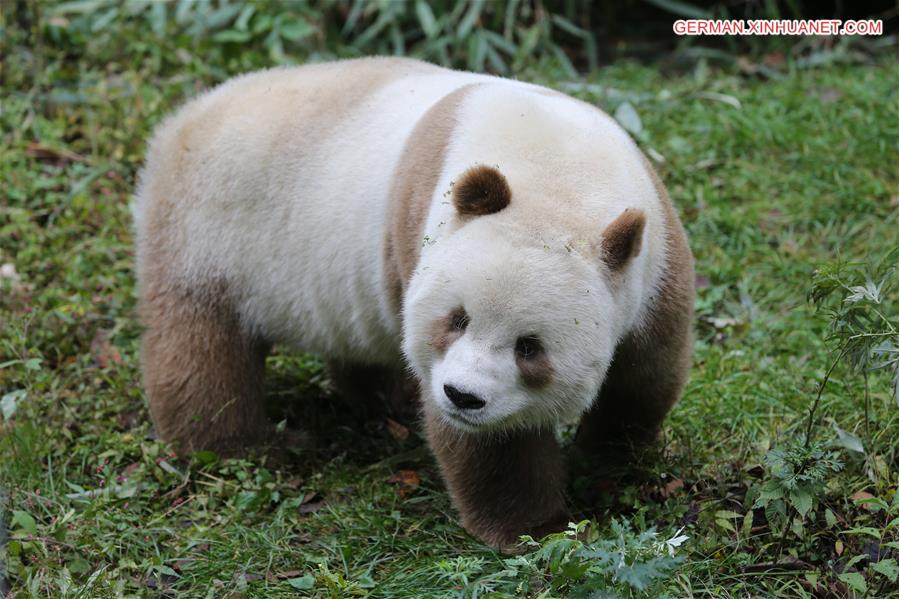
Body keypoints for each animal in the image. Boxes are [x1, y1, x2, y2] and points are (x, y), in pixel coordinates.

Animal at [133, 56, 694, 547]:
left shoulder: (654, 260)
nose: (463, 396)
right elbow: (492, 444)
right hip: (211, 232)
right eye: (457, 319)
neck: (559, 176)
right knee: (202, 355)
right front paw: (537, 528)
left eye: (529, 347)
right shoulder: (430, 229)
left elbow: (645, 374)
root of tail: (183, 120)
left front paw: (611, 460)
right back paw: (244, 448)